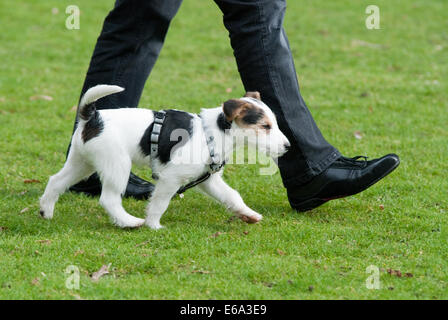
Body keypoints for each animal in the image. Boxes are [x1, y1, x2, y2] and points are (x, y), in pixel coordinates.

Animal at [39, 85, 290, 229]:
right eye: (265, 126)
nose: (288, 147)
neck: (212, 132)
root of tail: (92, 117)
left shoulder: (208, 180)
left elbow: (232, 196)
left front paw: (249, 215)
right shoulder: (171, 179)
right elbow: (160, 203)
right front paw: (153, 225)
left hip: (81, 163)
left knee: (56, 181)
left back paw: (46, 212)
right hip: (117, 165)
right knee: (109, 199)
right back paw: (130, 222)